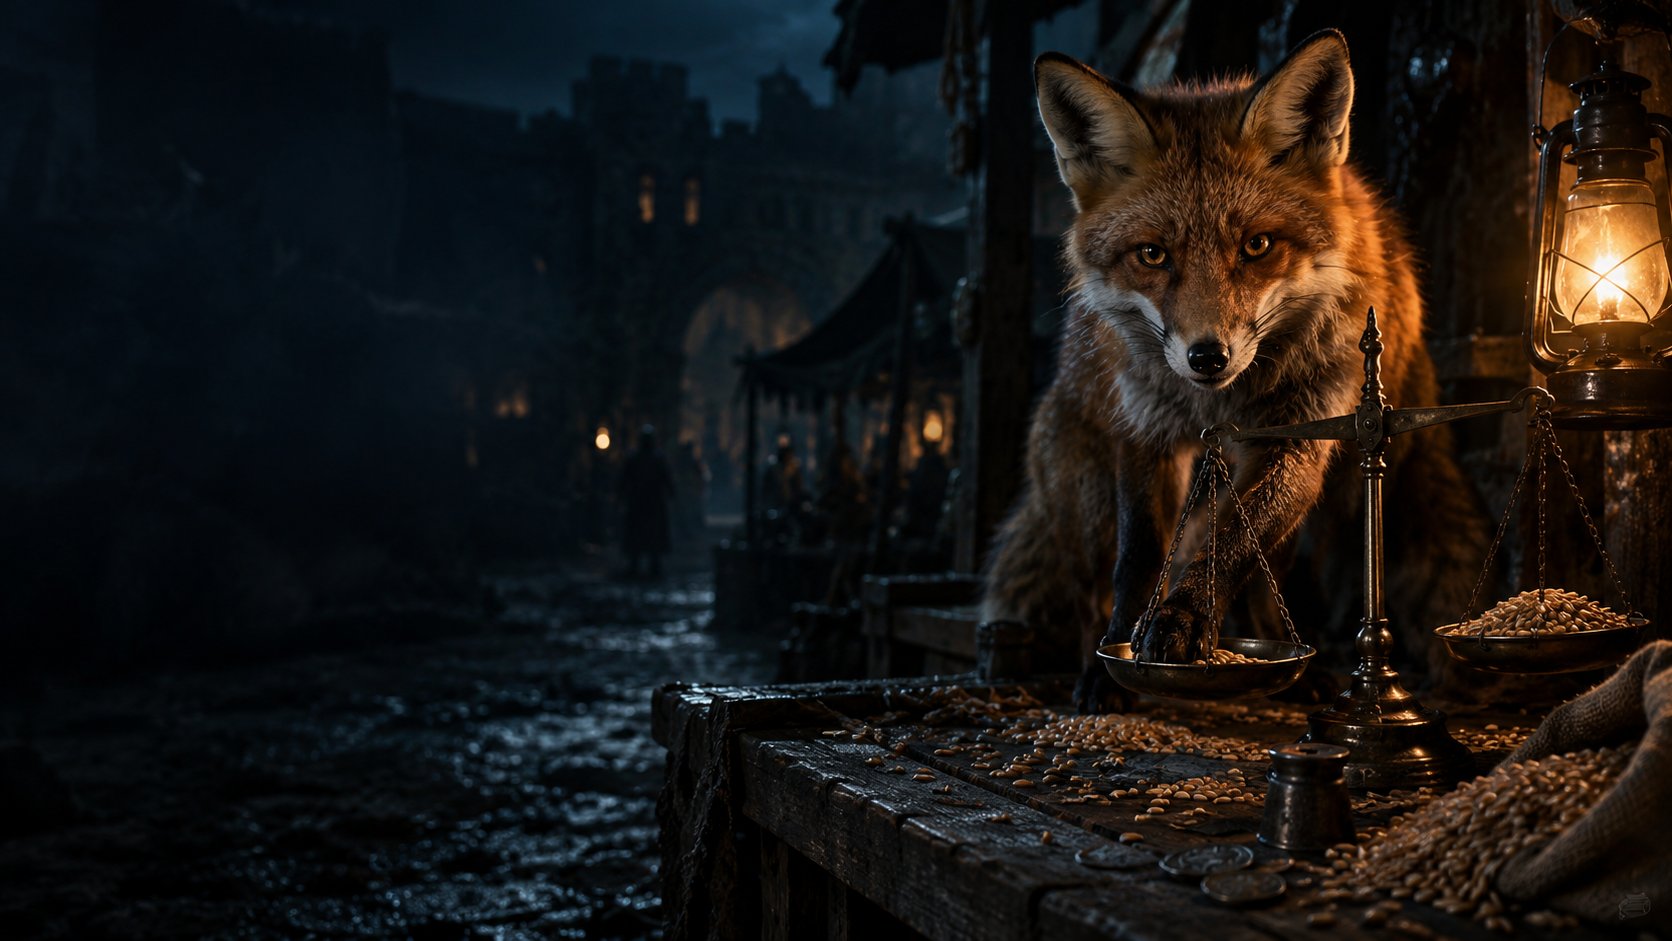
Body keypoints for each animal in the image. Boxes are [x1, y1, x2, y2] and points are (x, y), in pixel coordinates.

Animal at [980, 31, 1489, 712]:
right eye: (1152, 255)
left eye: (1256, 246)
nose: (1207, 357)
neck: (1219, 407)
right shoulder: (1145, 430)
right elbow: (1138, 558)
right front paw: (1117, 657)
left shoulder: (1304, 433)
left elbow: (1235, 546)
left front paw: (1184, 621)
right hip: (1083, 490)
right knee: (1094, 584)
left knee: (1264, 568)